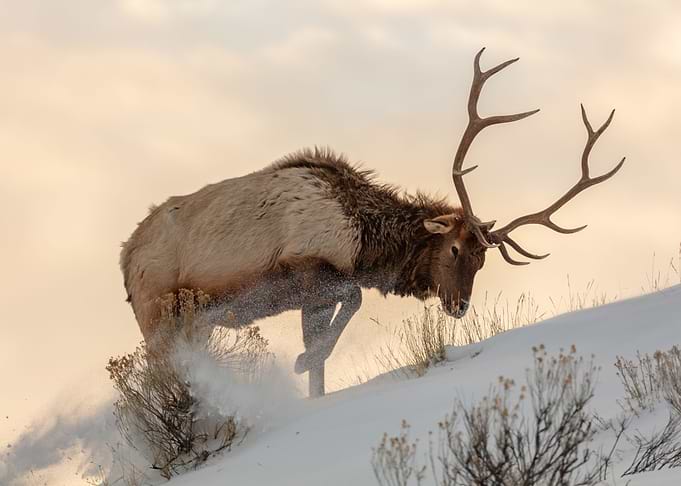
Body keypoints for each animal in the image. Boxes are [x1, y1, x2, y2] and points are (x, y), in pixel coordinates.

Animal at [120, 48, 625, 397]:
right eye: (455, 249)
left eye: (484, 261)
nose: (459, 305)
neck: (364, 241)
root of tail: (125, 258)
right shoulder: (307, 270)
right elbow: (353, 301)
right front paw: (300, 360)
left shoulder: (313, 296)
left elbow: (325, 355)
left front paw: (309, 373)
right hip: (157, 316)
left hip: (192, 323)